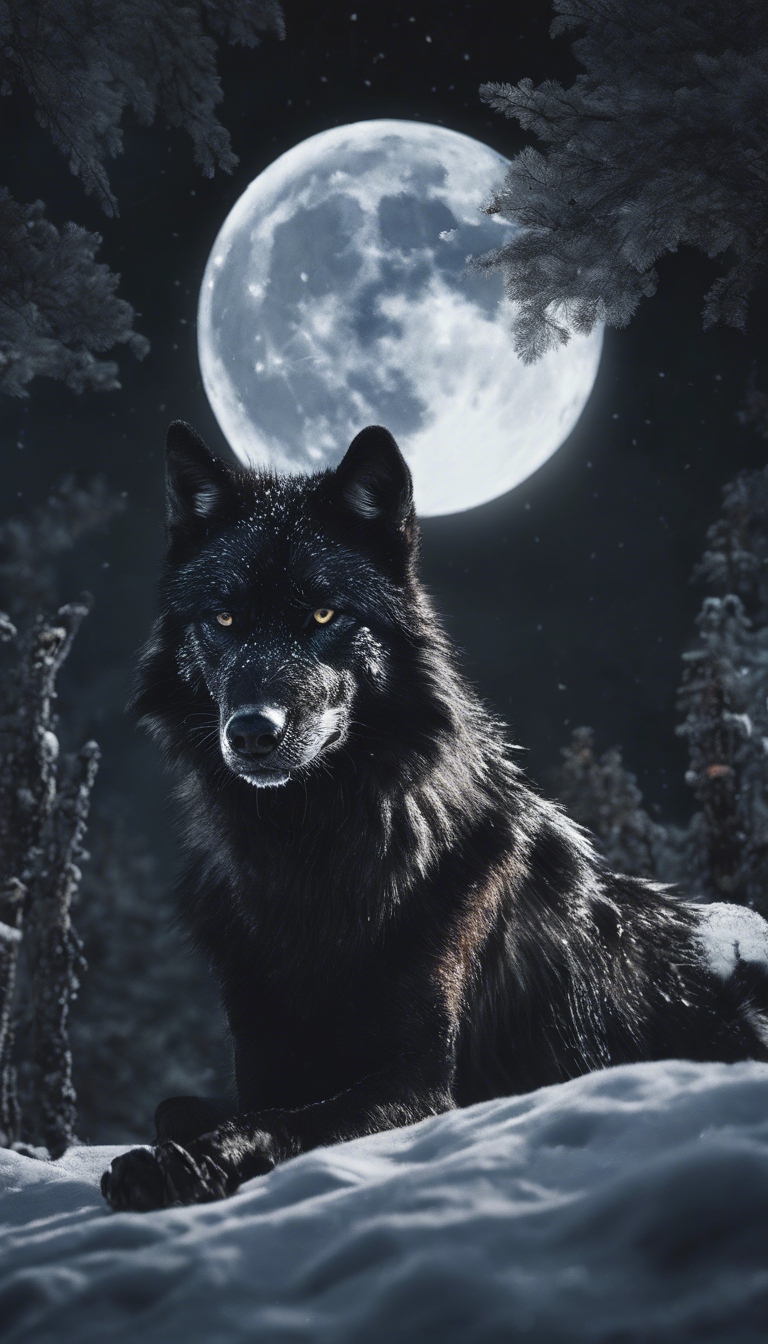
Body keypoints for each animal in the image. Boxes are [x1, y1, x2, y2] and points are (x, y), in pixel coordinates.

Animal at [102, 420, 768, 1211]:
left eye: (324, 613)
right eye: (225, 618)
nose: (253, 731)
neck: (310, 853)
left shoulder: (423, 1080)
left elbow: (285, 1121)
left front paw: (186, 1165)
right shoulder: (262, 1055)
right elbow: (189, 1105)